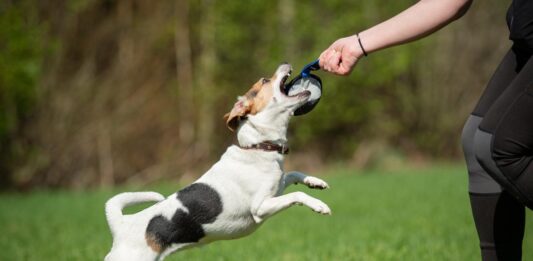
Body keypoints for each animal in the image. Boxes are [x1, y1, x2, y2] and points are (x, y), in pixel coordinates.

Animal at [103, 63, 328, 260]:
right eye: (264, 80)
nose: (286, 63)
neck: (258, 147)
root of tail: (121, 225)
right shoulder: (261, 208)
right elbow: (297, 194)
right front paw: (319, 205)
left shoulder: (277, 188)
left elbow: (293, 174)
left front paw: (315, 182)